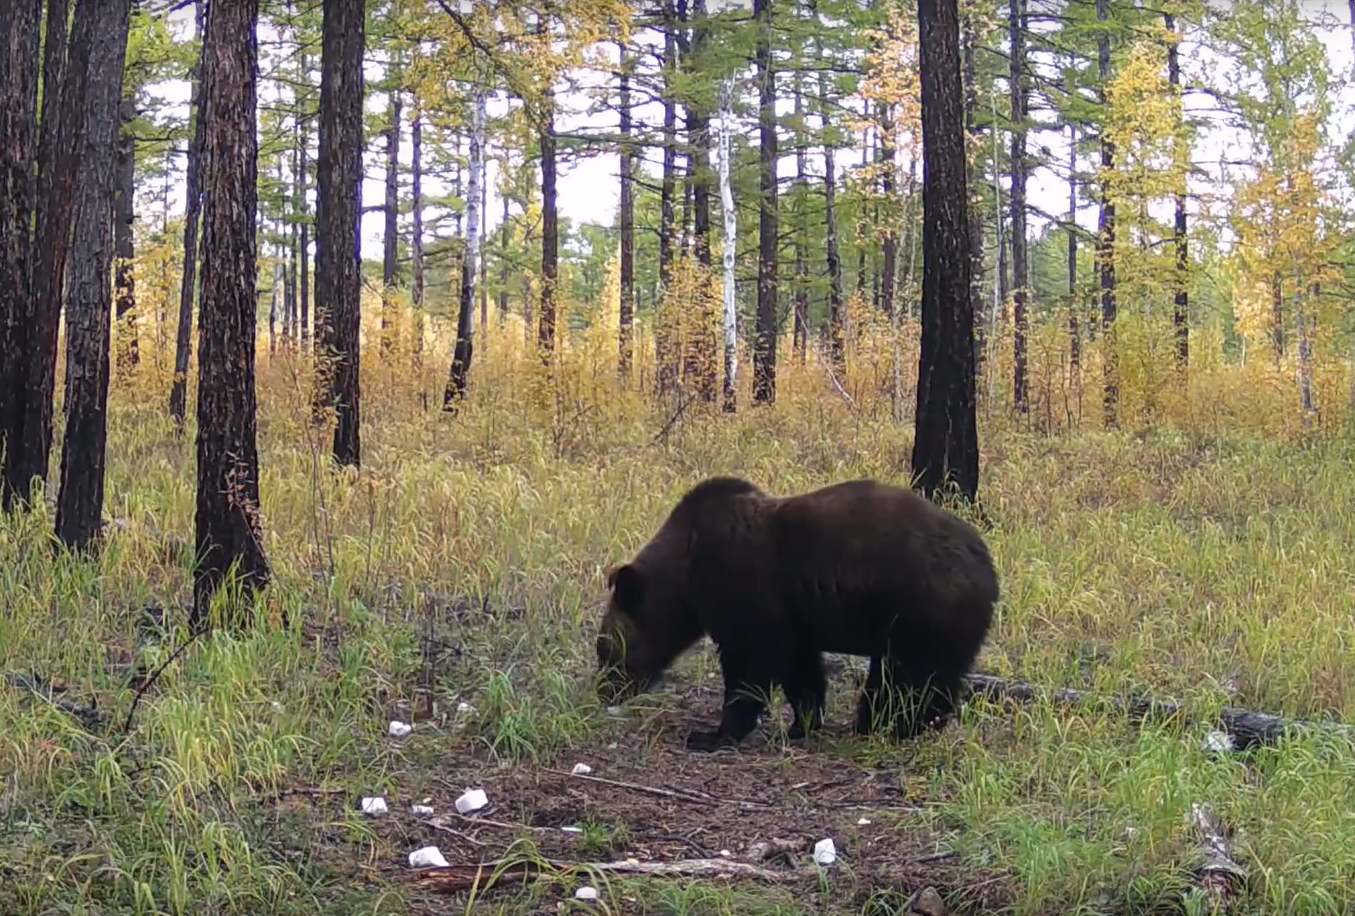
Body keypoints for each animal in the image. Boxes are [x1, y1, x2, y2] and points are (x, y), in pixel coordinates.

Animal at [594, 475, 999, 752]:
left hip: (922, 606)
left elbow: (750, 664)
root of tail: (987, 564)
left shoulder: (744, 591)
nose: (604, 691)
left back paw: (899, 725)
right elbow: (800, 669)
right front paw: (803, 722)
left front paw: (713, 733)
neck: (686, 575)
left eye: (605, 649)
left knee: (914, 676)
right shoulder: (795, 617)